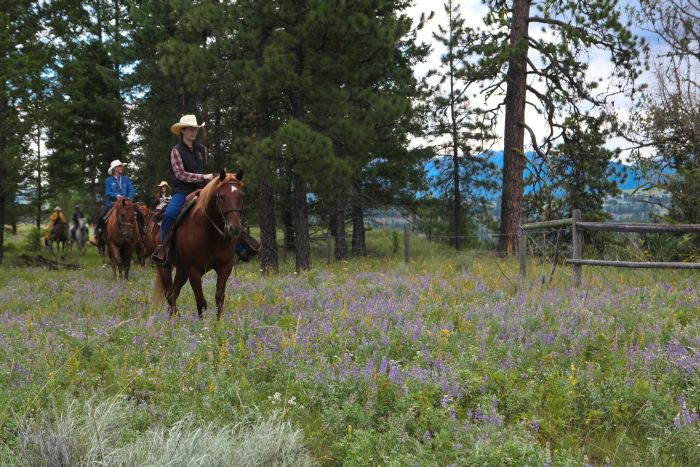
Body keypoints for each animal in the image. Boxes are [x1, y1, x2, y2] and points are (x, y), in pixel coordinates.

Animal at [154, 172, 245, 322]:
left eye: (241, 195)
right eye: (221, 196)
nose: (234, 228)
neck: (210, 234)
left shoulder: (225, 267)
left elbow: (219, 297)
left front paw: (219, 322)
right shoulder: (194, 271)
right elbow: (201, 301)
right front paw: (201, 325)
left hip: (182, 270)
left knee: (174, 292)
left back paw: (176, 320)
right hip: (164, 267)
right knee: (169, 294)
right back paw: (174, 321)